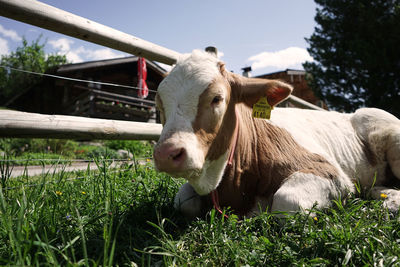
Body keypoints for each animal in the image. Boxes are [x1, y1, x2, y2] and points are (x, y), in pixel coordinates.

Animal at [152, 50, 400, 220]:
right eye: (159, 105)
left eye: (217, 98)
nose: (166, 154)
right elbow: (182, 201)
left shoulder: (330, 172)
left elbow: (287, 203)